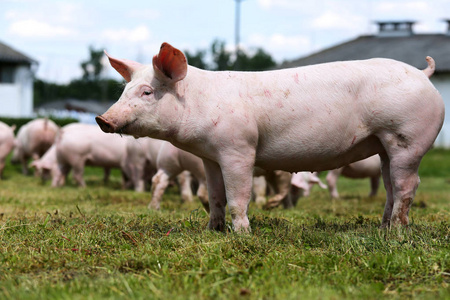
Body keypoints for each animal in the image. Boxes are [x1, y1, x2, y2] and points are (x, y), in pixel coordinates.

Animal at [96, 42, 444, 232]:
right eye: (125, 89)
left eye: (147, 91)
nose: (102, 119)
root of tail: (422, 74)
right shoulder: (209, 157)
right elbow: (216, 196)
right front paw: (212, 231)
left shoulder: (238, 149)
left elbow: (239, 197)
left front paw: (242, 235)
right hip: (383, 145)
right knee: (389, 185)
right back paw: (383, 228)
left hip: (407, 138)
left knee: (407, 185)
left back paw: (396, 232)